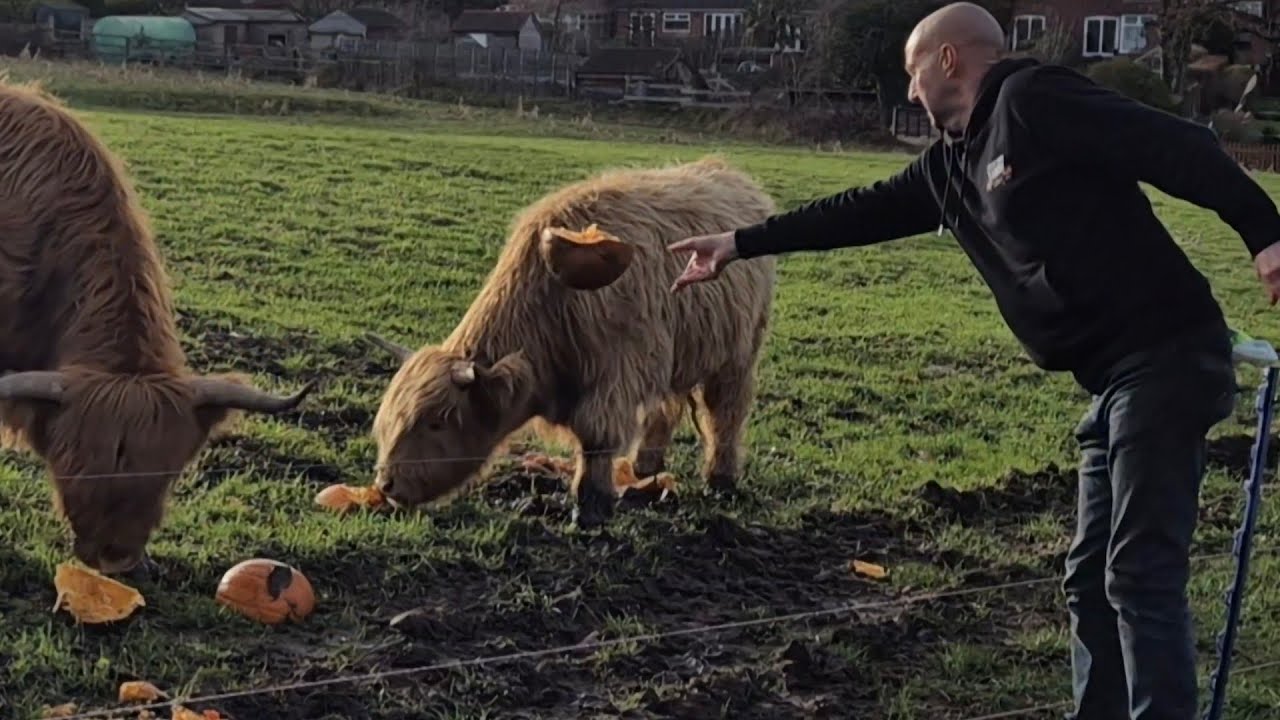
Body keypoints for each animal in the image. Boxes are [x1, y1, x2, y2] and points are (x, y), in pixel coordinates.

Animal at [364, 156, 777, 528]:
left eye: (436, 422)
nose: (386, 484)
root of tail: (728, 171)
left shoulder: (616, 374)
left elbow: (595, 436)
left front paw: (591, 506)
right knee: (666, 408)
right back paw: (646, 467)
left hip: (738, 354)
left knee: (725, 413)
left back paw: (721, 479)